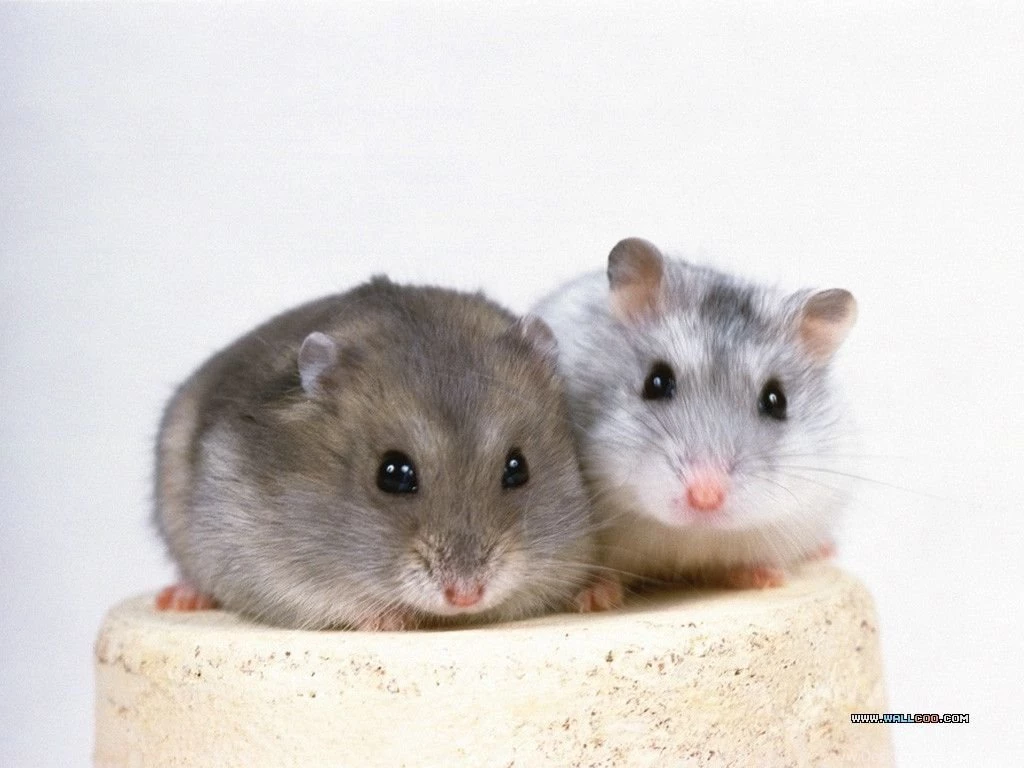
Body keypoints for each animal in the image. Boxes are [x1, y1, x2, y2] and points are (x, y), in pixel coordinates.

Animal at [153, 277, 598, 630]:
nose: (466, 596)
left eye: (517, 468)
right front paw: (392, 619)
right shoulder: (268, 567)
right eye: (393, 474)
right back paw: (179, 598)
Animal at [532, 238, 857, 594]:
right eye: (656, 382)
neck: (689, 532)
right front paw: (593, 596)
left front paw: (767, 578)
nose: (705, 497)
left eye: (776, 401)